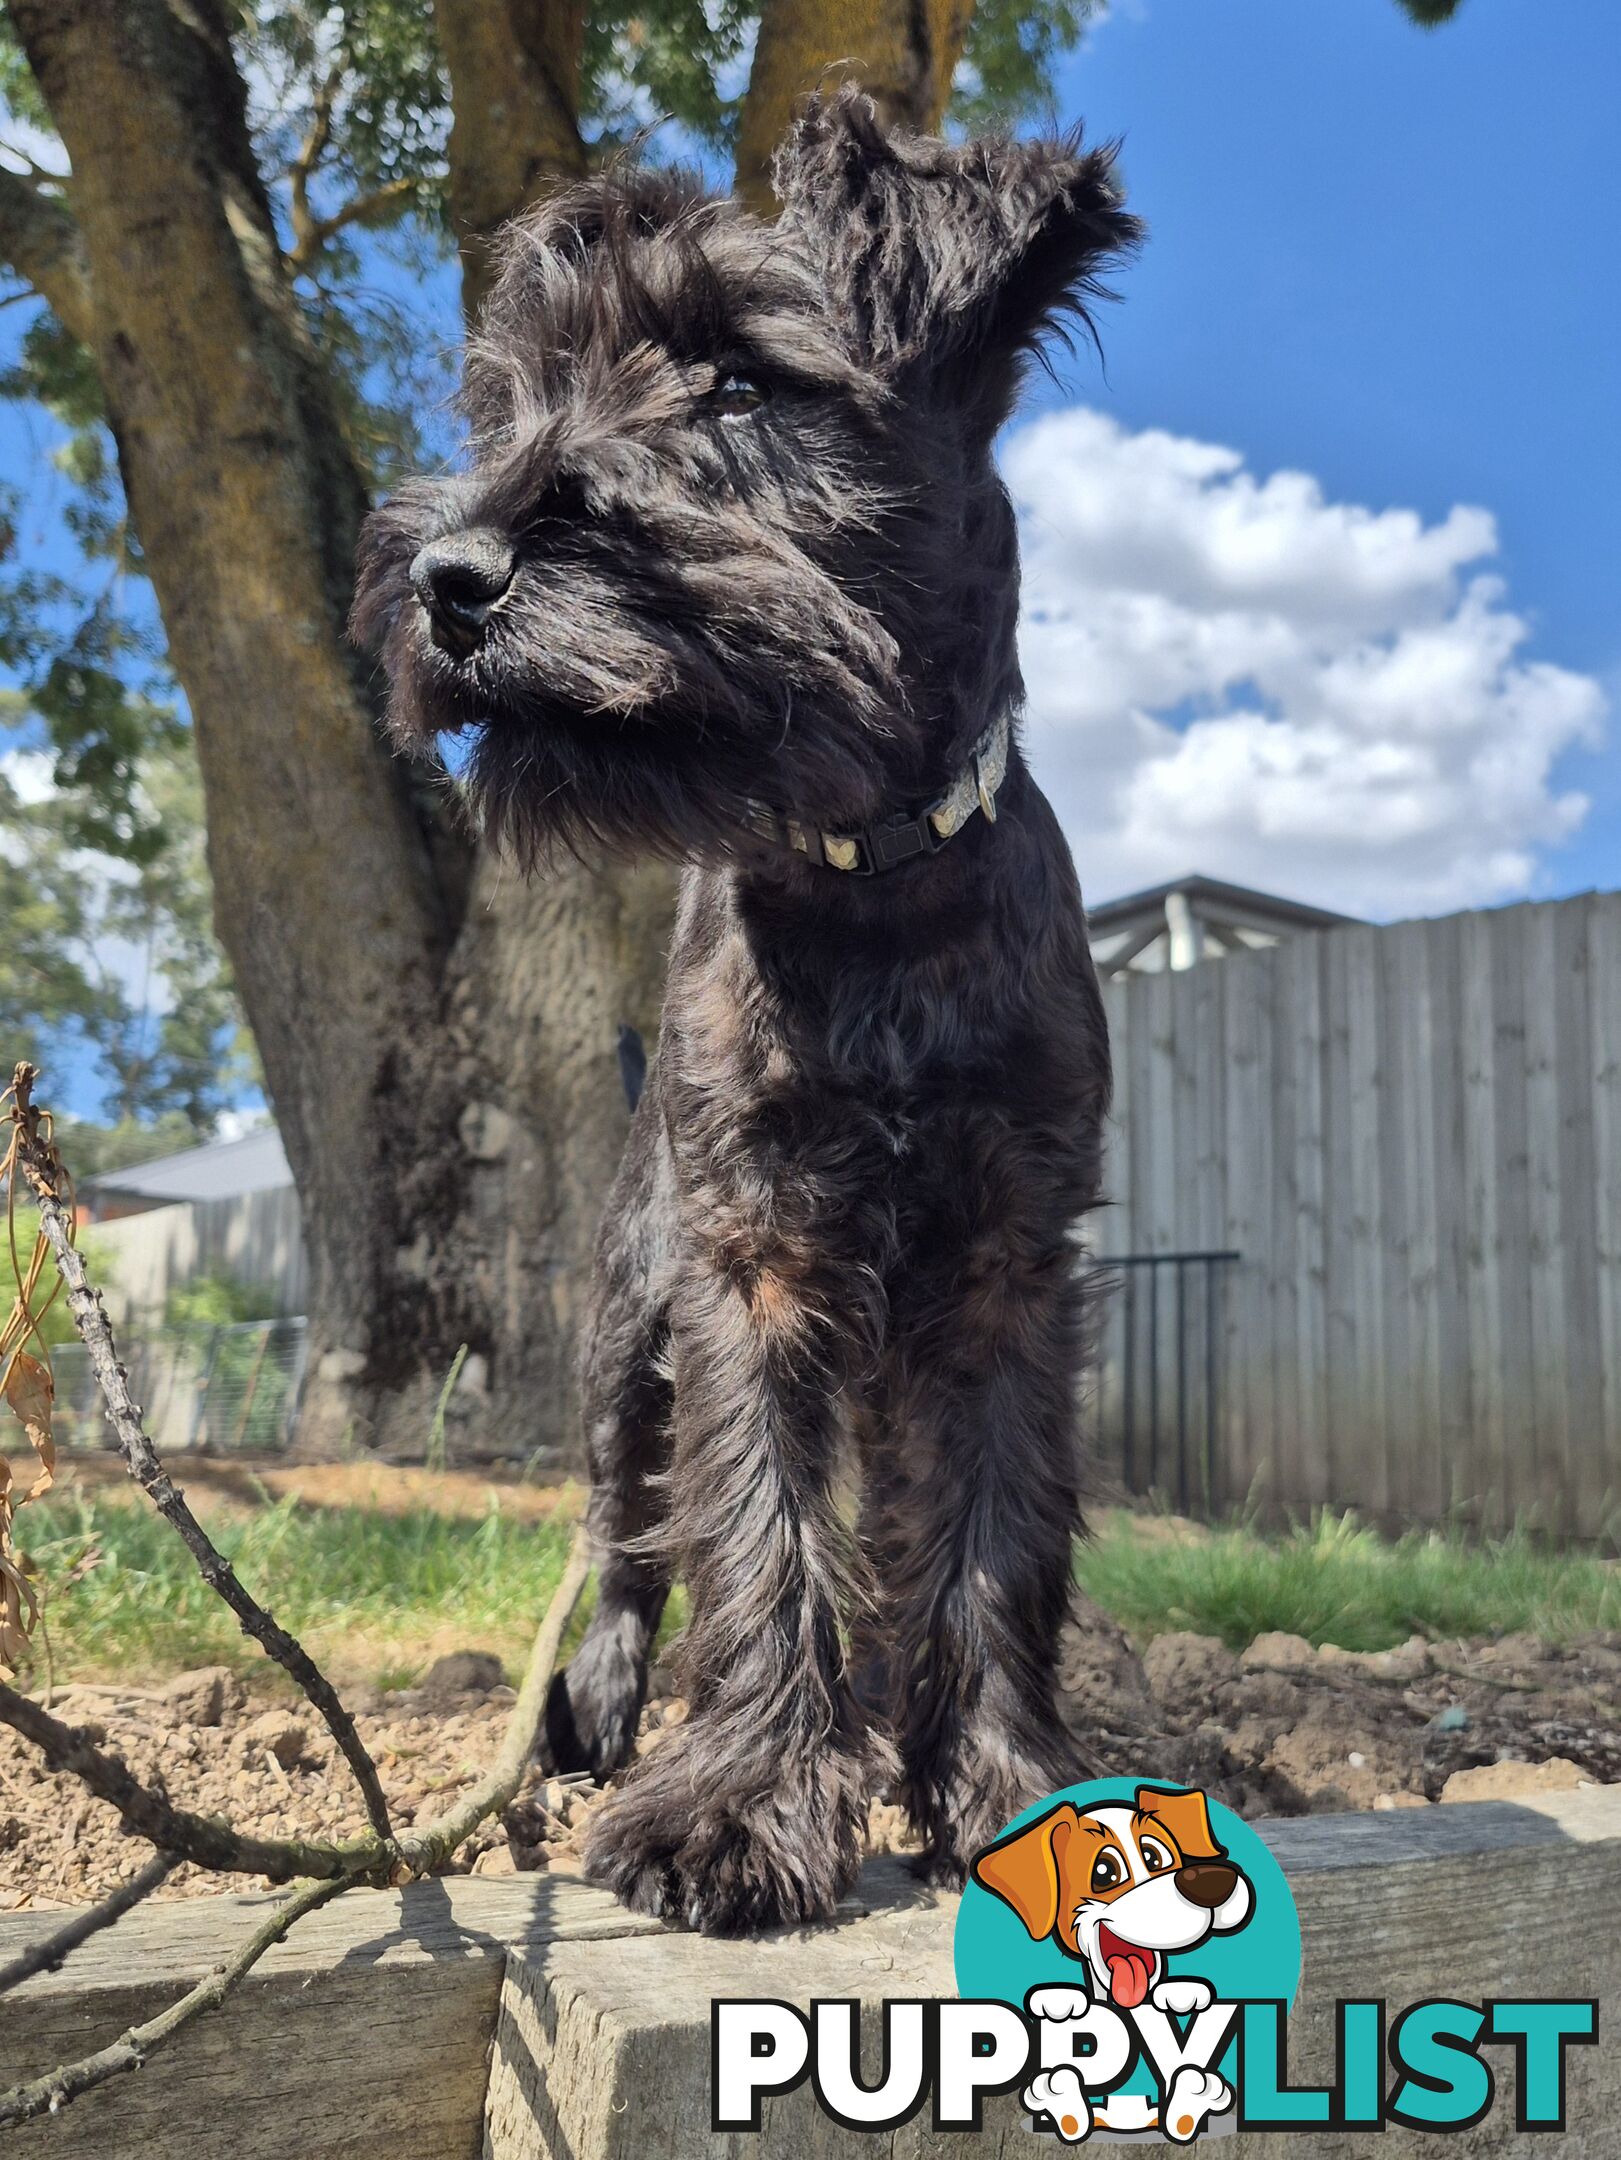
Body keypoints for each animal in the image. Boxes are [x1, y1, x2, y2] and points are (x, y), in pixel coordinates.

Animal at [356, 88, 1141, 1944]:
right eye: (519, 397)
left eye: (736, 385)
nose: (448, 578)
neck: (871, 883)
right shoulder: (753, 1260)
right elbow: (752, 1527)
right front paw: (737, 1811)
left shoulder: (1007, 1266)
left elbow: (988, 1539)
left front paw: (1001, 1794)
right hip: (623, 1324)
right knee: (622, 1532)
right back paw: (593, 1709)